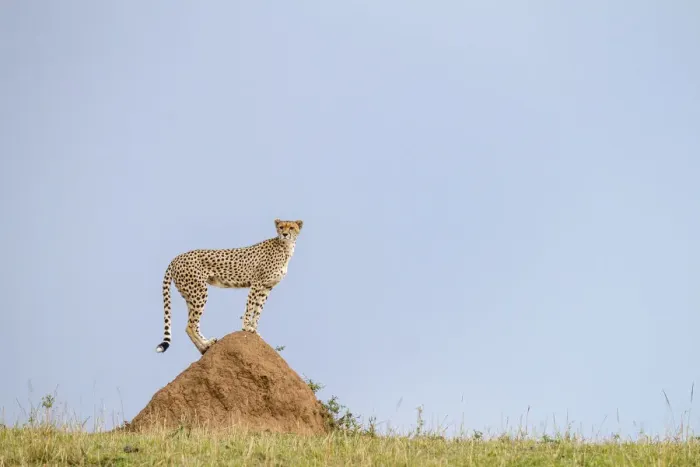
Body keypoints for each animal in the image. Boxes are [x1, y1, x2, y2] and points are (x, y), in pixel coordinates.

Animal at [155, 218, 303, 355]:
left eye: (291, 227)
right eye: (281, 227)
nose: (284, 234)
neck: (285, 247)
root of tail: (176, 258)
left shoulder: (267, 287)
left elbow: (258, 310)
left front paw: (255, 331)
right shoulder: (257, 283)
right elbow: (250, 307)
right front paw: (246, 328)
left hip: (190, 294)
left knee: (193, 323)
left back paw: (206, 345)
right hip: (199, 292)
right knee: (190, 325)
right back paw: (204, 346)